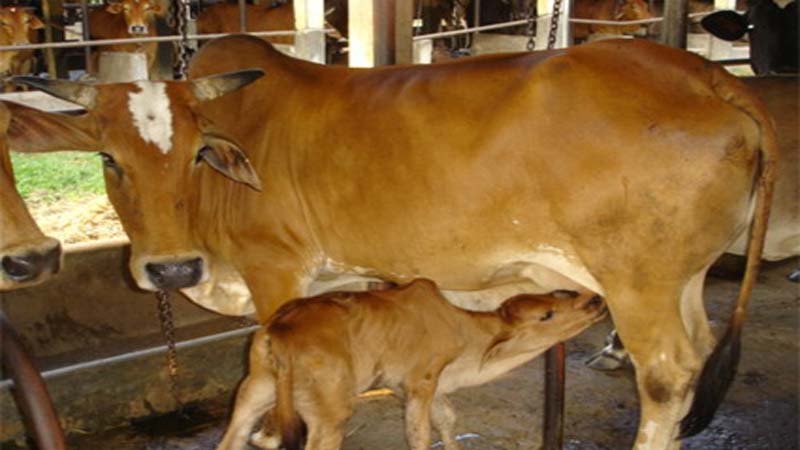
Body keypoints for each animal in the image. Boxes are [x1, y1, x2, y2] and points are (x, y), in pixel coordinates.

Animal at [216, 281, 606, 450]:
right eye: (547, 314)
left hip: (253, 393)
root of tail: (282, 329)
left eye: (561, 294)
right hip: (330, 414)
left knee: (233, 438)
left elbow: (446, 420)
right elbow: (419, 433)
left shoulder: (421, 386)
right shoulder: (421, 382)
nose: (597, 299)